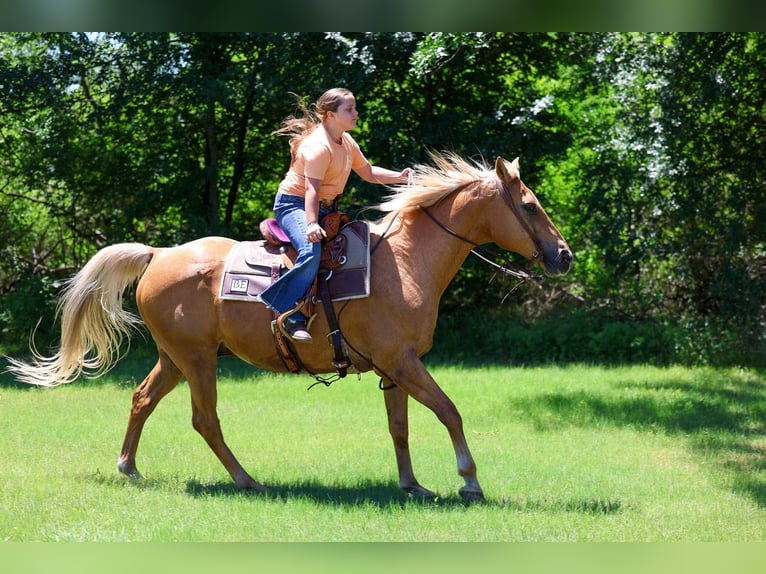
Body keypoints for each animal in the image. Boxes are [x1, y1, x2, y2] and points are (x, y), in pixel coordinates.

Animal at [6, 152, 572, 502]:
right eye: (528, 205)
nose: (563, 255)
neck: (407, 262)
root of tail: (160, 254)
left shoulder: (394, 367)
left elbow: (400, 427)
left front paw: (412, 485)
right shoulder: (404, 362)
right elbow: (450, 412)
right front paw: (469, 482)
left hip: (175, 357)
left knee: (142, 399)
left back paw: (128, 467)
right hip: (196, 361)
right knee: (205, 420)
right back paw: (246, 480)